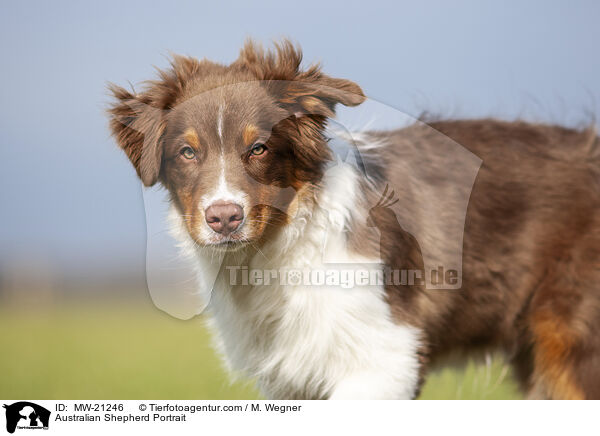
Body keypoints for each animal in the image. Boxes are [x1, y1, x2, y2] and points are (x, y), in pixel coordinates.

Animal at [109, 41, 600, 398]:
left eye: (259, 148)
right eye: (187, 152)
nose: (224, 219)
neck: (281, 250)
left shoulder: (383, 357)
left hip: (574, 347)